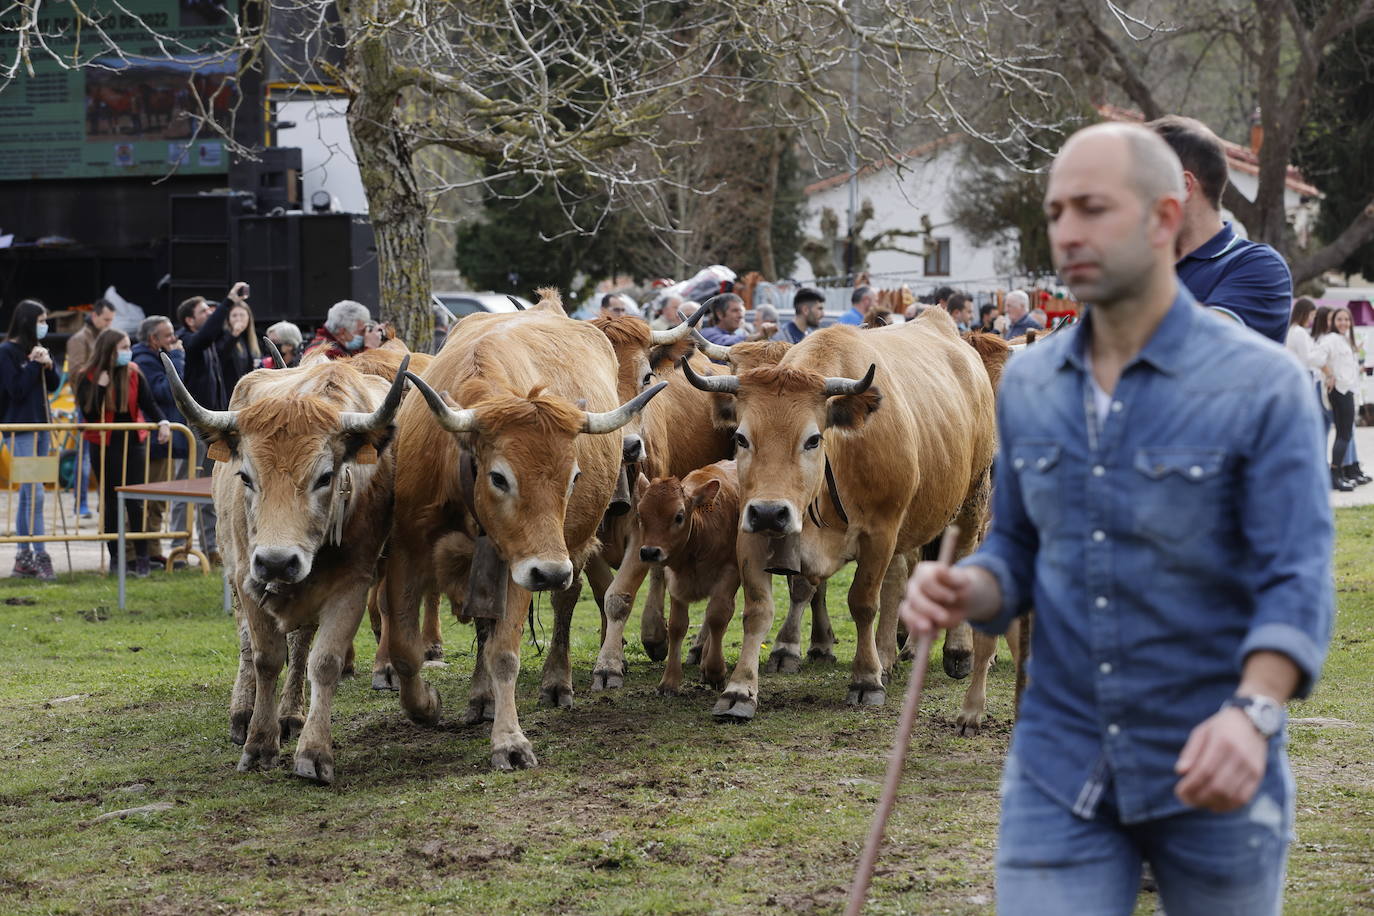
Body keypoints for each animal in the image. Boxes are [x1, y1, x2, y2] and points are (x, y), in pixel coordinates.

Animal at [162, 354, 403, 785]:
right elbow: (266, 658)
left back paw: (290, 714)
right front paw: (258, 743)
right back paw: (242, 712)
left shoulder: (352, 586)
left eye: (325, 476)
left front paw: (313, 752)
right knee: (246, 643)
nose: (276, 560)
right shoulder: (249, 577)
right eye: (246, 476)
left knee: (301, 643)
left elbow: (323, 662)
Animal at [384, 289, 667, 769]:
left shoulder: (522, 564)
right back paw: (481, 699)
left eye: (574, 476)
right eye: (500, 477)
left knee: (565, 602)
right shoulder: (408, 549)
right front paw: (427, 705)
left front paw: (510, 741)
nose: (551, 572)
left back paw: (556, 682)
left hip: (570, 546)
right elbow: (406, 649)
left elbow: (505, 653)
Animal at [678, 311, 994, 719]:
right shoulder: (752, 532)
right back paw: (888, 655)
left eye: (813, 439)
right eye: (741, 438)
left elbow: (863, 602)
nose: (771, 512)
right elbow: (759, 609)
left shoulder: (880, 532)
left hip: (970, 501)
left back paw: (956, 651)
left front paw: (865, 679)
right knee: (897, 579)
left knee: (958, 559)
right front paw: (740, 689)